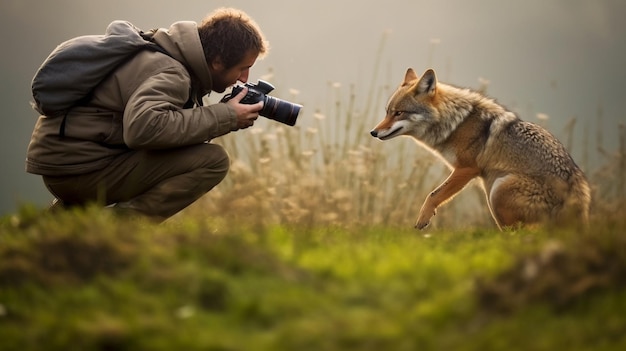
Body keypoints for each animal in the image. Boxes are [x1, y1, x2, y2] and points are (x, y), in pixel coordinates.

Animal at [370, 68, 588, 231]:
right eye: (387, 112)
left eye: (399, 113)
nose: (373, 132)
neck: (456, 124)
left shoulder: (466, 169)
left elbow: (433, 194)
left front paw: (423, 218)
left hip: (498, 190)